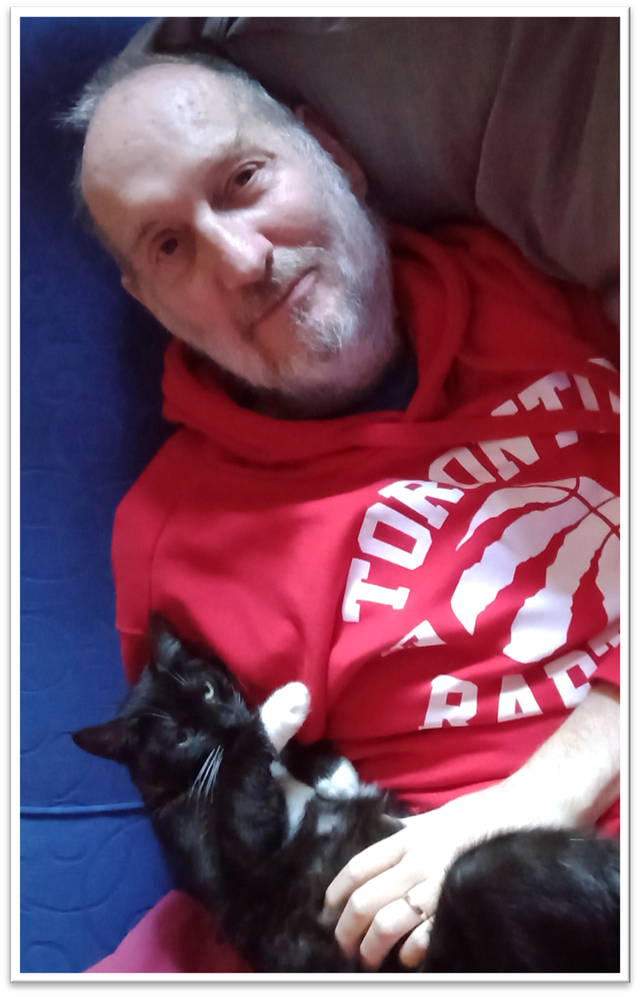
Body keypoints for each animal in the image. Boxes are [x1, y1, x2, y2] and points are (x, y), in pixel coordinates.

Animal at [72, 616, 620, 974]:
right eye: (182, 736)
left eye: (207, 689)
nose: (225, 719)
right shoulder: (225, 856)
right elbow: (241, 799)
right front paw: (282, 707)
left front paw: (329, 769)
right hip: (483, 877)